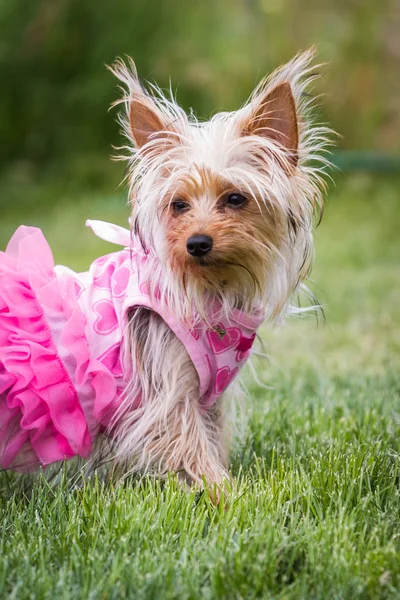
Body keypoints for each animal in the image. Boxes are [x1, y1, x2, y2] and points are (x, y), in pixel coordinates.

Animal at [0, 48, 330, 496]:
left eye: (236, 199)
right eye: (178, 205)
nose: (197, 243)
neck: (212, 292)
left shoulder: (203, 396)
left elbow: (209, 437)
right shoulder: (167, 389)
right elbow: (189, 444)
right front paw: (227, 494)